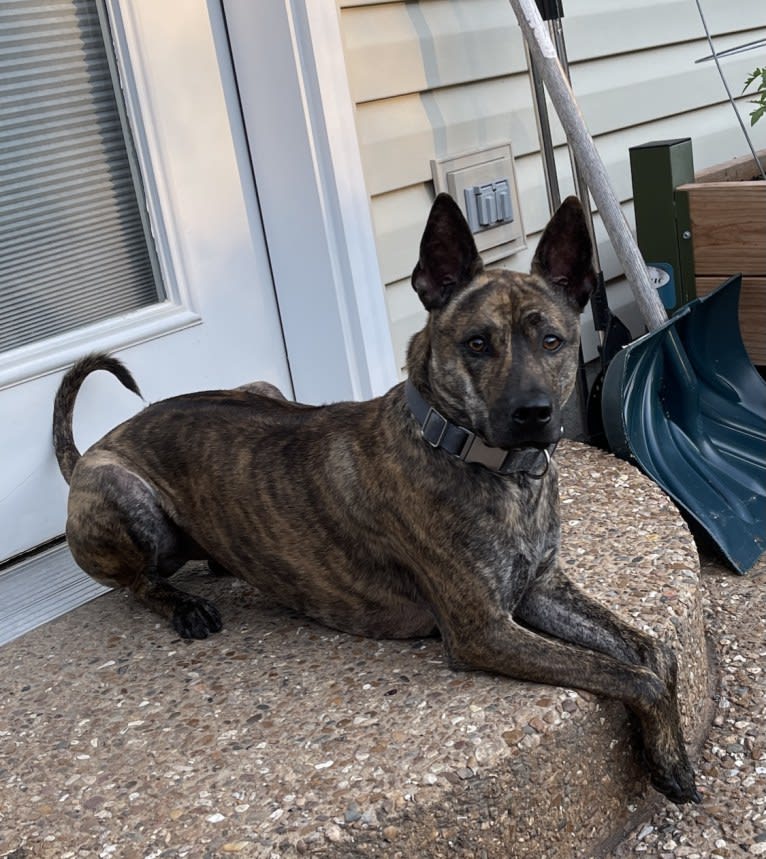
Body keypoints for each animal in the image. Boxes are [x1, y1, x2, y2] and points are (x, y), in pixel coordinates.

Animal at [52, 195, 704, 808]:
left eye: (553, 341)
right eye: (476, 344)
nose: (534, 415)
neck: (477, 460)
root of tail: (91, 450)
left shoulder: (539, 590)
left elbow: (654, 652)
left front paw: (669, 746)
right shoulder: (485, 630)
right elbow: (629, 674)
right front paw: (667, 762)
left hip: (260, 388)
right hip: (122, 494)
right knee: (139, 582)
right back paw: (183, 604)